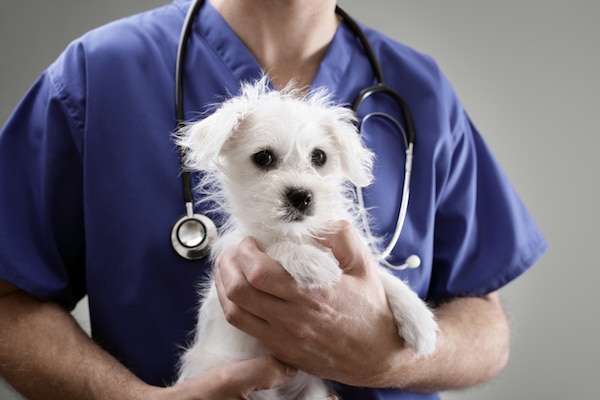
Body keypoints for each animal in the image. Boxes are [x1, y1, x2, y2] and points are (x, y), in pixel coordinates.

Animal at [173, 79, 436, 400]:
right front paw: (310, 261)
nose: (301, 196)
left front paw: (419, 318)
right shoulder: (245, 246)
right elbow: (273, 245)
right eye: (263, 157)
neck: (298, 233)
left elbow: (384, 278)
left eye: (319, 156)